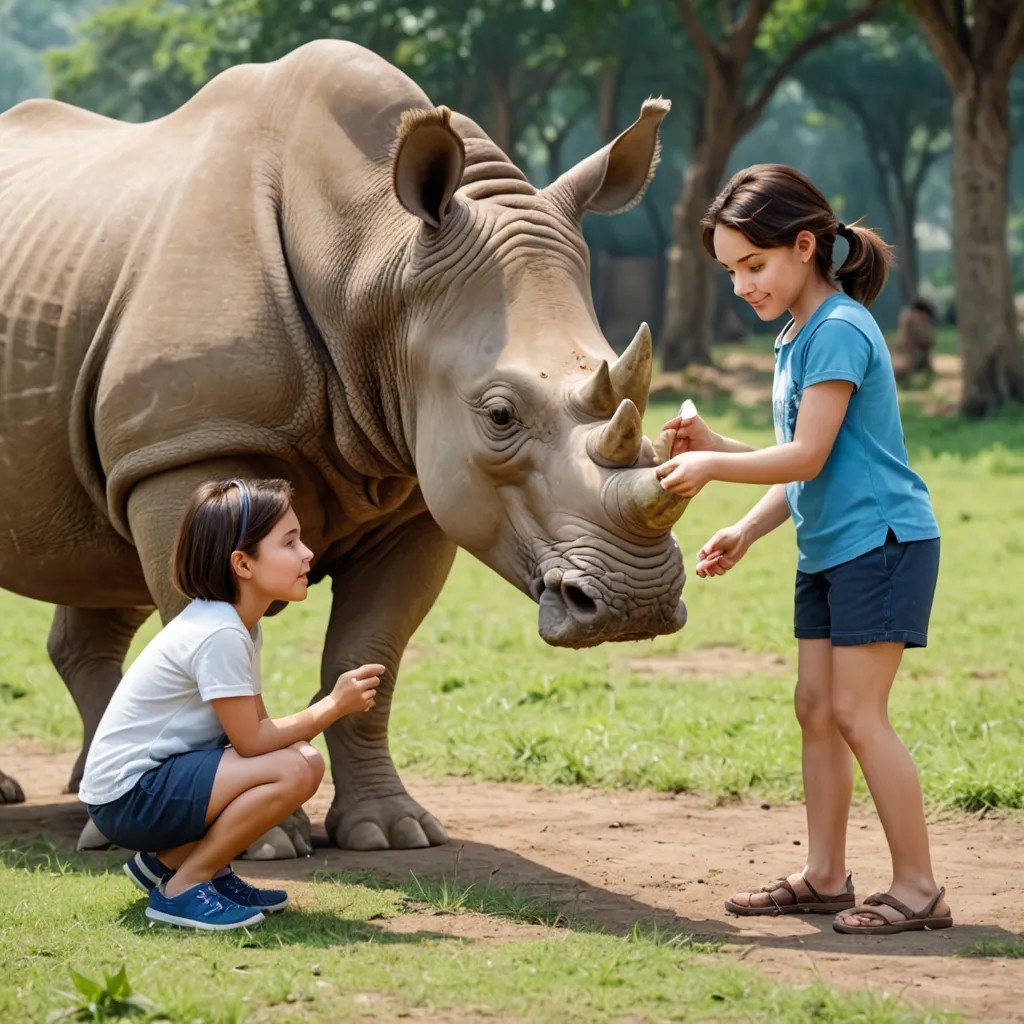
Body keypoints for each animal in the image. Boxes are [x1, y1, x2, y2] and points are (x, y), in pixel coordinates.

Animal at [0, 40, 688, 854]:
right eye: (498, 416)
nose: (638, 605)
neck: (373, 266)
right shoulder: (188, 451)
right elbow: (214, 637)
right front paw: (263, 841)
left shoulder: (418, 489)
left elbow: (369, 658)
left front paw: (393, 833)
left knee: (101, 560)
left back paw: (95, 810)